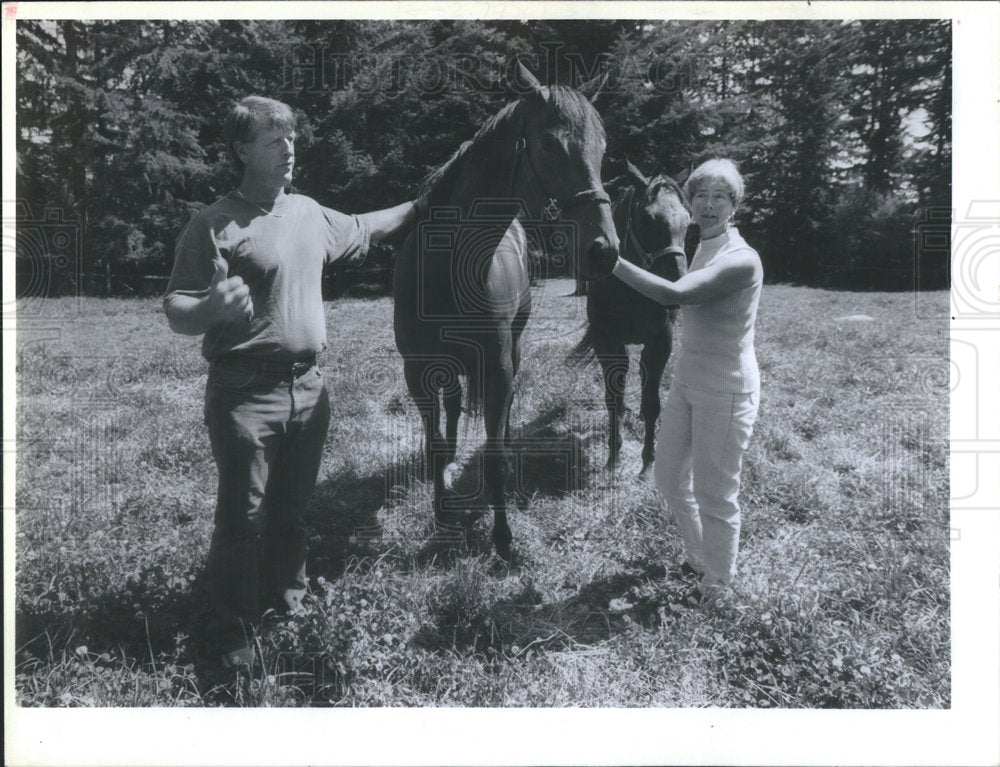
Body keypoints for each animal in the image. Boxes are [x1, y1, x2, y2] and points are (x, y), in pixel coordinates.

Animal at [392, 63, 616, 560]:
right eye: (550, 144)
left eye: (603, 148)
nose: (604, 251)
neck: (446, 267)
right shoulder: (419, 372)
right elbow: (435, 444)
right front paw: (442, 512)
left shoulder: (495, 367)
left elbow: (494, 455)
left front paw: (503, 537)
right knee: (453, 410)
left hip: (511, 347)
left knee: (504, 413)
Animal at [572, 160, 688, 476]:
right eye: (646, 219)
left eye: (689, 222)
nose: (676, 286)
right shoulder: (608, 343)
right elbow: (613, 398)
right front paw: (614, 456)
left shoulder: (661, 342)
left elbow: (652, 403)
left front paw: (648, 461)